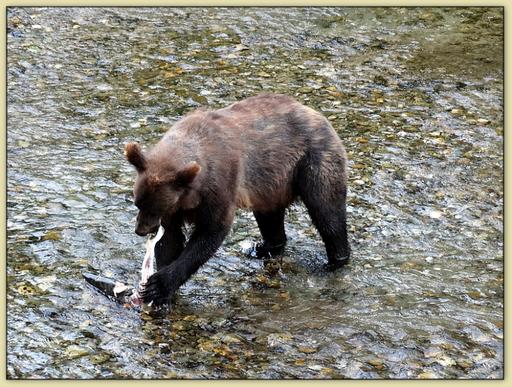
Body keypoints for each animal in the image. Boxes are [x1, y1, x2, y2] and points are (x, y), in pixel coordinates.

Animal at [125, 93, 348, 306]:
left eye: (155, 208)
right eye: (138, 203)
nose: (141, 230)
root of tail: (315, 113)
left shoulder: (219, 185)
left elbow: (210, 231)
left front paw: (158, 286)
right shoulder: (176, 206)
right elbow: (170, 239)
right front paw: (160, 288)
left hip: (312, 163)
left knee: (327, 213)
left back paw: (334, 261)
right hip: (270, 183)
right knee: (270, 218)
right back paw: (261, 249)